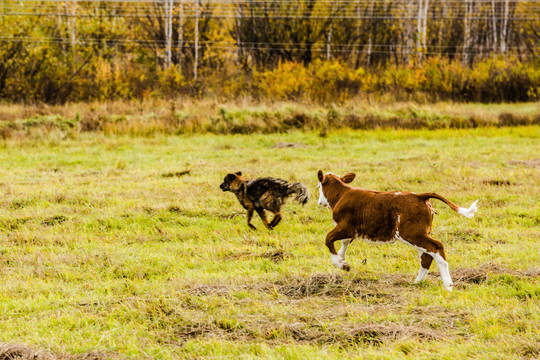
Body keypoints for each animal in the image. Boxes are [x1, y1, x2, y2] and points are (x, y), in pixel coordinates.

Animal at [316, 170, 476, 292]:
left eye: (319, 186)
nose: (319, 202)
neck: (342, 194)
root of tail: (419, 196)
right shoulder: (351, 231)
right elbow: (344, 243)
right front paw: (342, 259)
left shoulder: (345, 227)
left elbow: (328, 238)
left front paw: (341, 264)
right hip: (420, 233)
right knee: (426, 255)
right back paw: (417, 282)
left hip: (411, 233)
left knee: (436, 247)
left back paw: (448, 285)